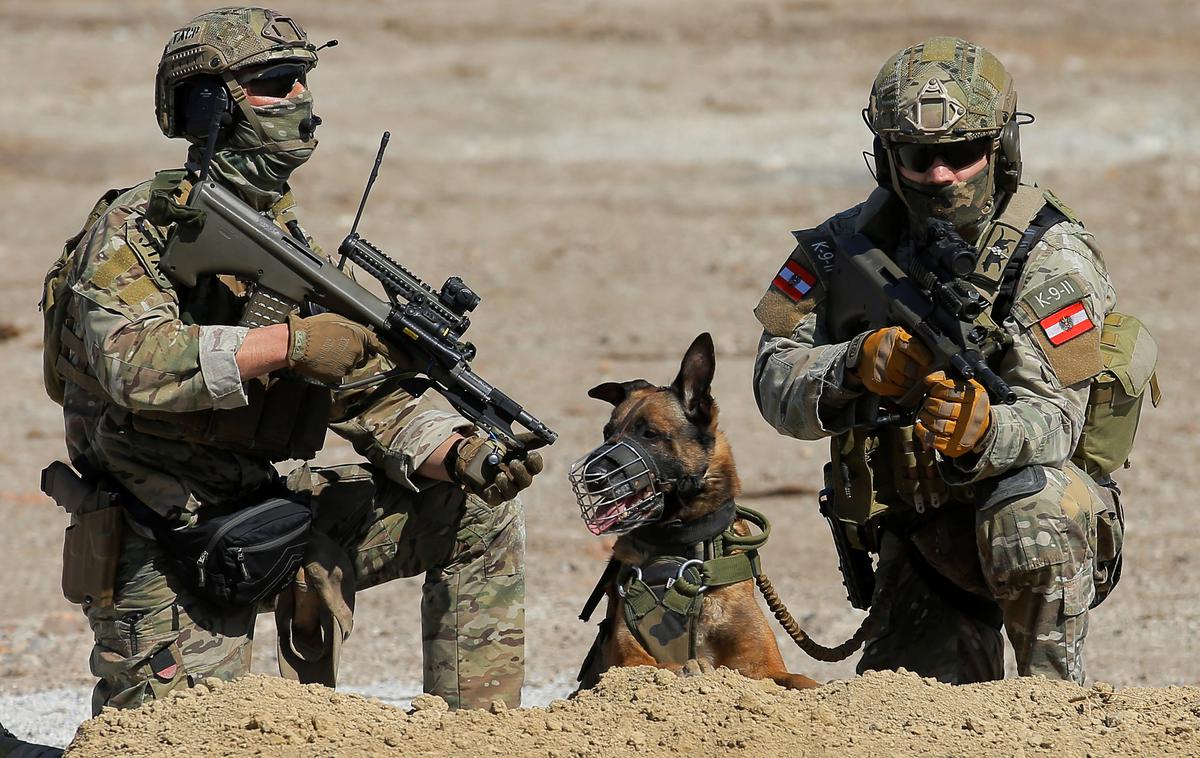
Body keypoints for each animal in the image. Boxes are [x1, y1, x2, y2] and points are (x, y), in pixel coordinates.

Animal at [568, 333, 816, 690]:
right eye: (607, 433)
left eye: (650, 434)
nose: (591, 476)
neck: (683, 551)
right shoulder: (627, 660)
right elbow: (657, 667)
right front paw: (689, 668)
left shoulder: (763, 667)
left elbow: (802, 680)